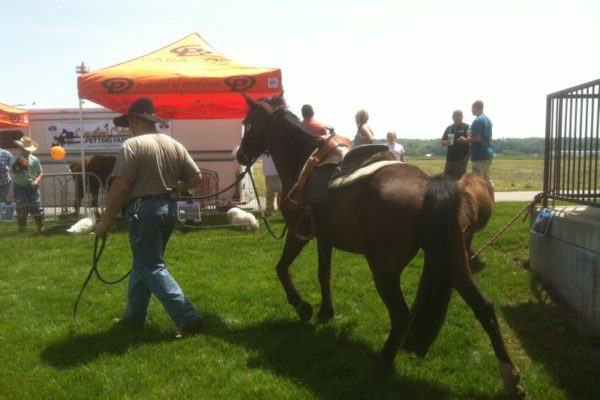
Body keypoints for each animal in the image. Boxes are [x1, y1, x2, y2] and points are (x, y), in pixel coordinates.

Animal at [236, 94, 524, 396]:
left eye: (248, 123)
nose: (240, 155)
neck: (304, 163)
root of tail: (430, 186)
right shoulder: (325, 238)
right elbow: (324, 274)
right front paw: (327, 311)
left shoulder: (297, 233)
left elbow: (281, 268)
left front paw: (302, 307)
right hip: (453, 262)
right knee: (484, 307)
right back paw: (511, 376)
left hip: (385, 270)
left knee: (401, 315)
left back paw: (383, 361)